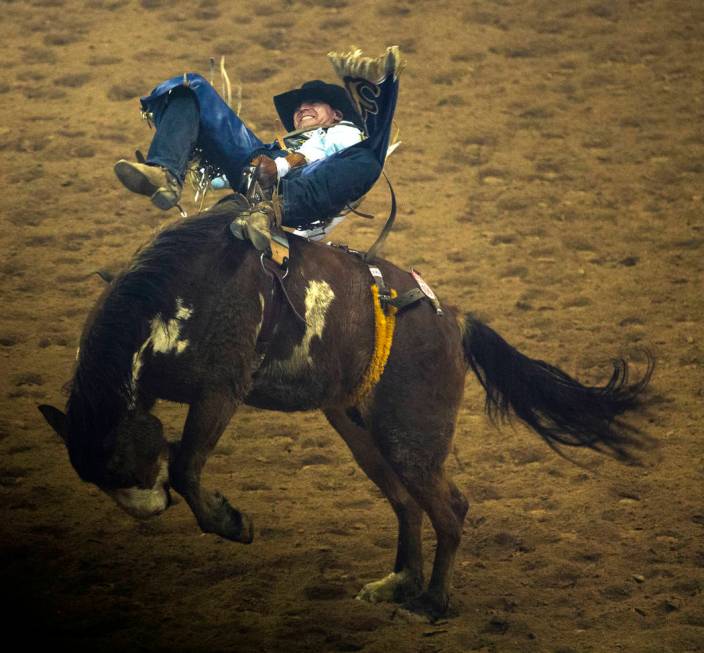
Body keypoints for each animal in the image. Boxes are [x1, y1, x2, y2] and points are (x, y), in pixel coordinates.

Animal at [40, 192, 656, 616]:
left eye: (122, 464)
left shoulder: (221, 389)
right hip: (360, 431)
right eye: (96, 477)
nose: (151, 509)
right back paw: (400, 583)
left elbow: (189, 465)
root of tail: (454, 323)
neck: (172, 298)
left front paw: (234, 522)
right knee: (409, 504)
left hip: (411, 438)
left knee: (449, 508)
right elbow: (181, 458)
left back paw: (432, 602)